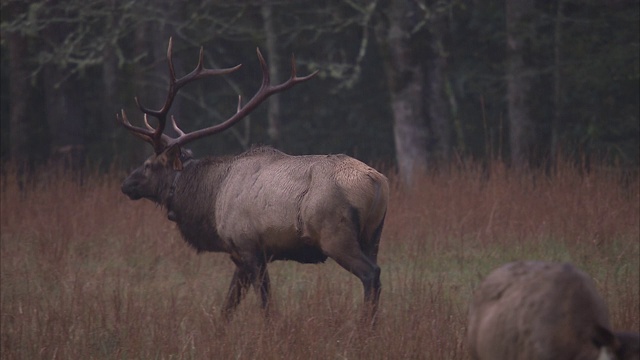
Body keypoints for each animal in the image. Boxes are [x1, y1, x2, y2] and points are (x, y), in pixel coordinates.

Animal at [117, 38, 388, 320]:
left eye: (148, 165)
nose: (126, 185)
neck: (210, 203)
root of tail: (377, 182)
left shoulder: (249, 247)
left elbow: (266, 304)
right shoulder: (241, 254)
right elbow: (228, 305)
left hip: (335, 235)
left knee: (371, 274)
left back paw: (363, 326)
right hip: (374, 235)